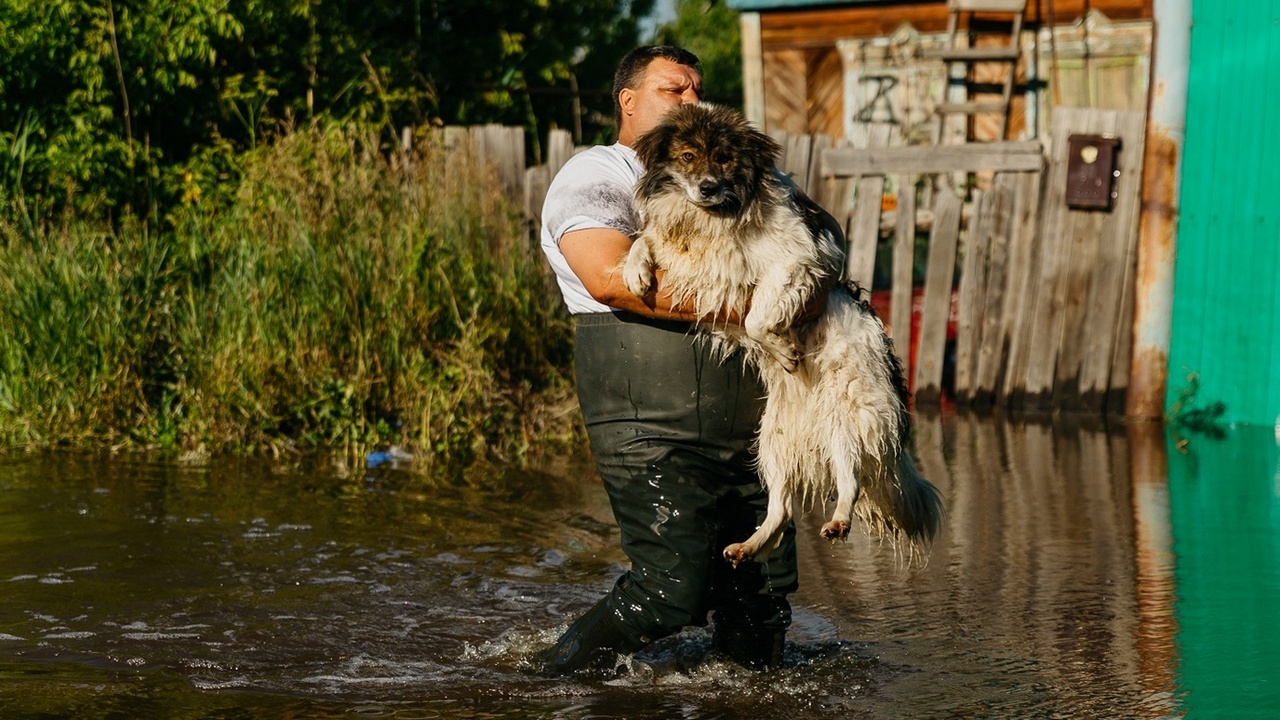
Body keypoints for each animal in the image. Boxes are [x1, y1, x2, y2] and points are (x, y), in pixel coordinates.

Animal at [619, 103, 942, 563]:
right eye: (687, 157)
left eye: (724, 158)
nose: (707, 188)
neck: (714, 218)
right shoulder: (694, 267)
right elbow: (644, 239)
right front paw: (635, 270)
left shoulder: (797, 261)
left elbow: (757, 317)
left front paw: (785, 349)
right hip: (772, 440)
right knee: (781, 508)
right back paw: (750, 544)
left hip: (847, 414)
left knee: (850, 479)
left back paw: (839, 519)